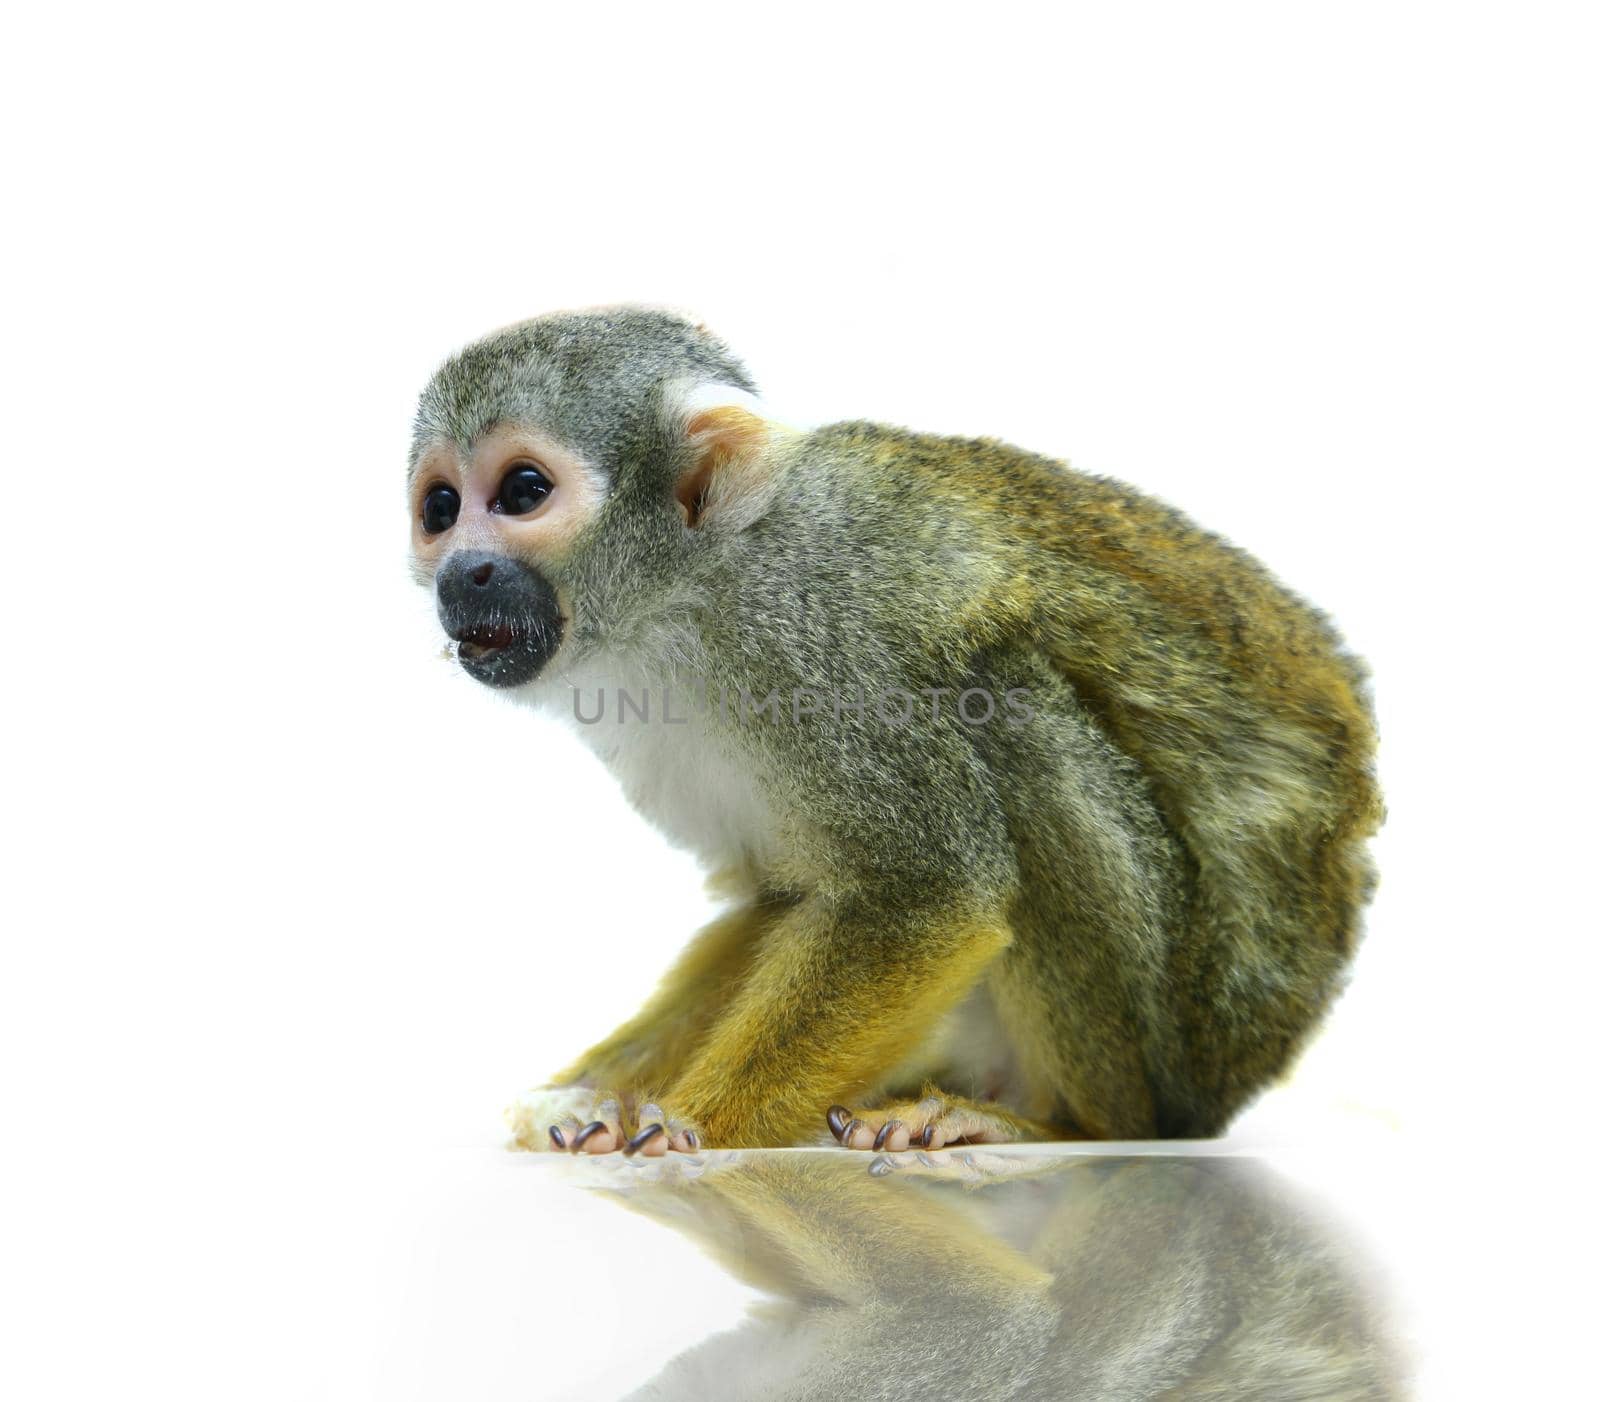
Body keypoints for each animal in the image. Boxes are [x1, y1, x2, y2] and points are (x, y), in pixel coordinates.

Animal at [406, 312, 1382, 1158]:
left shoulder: (820, 639)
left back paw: (1064, 1125)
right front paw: (586, 1100)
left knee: (1013, 708)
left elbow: (927, 895)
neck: (687, 595)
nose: (464, 573)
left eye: (523, 492)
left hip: (1182, 1046)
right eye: (441, 509)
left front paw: (691, 1127)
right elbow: (785, 900)